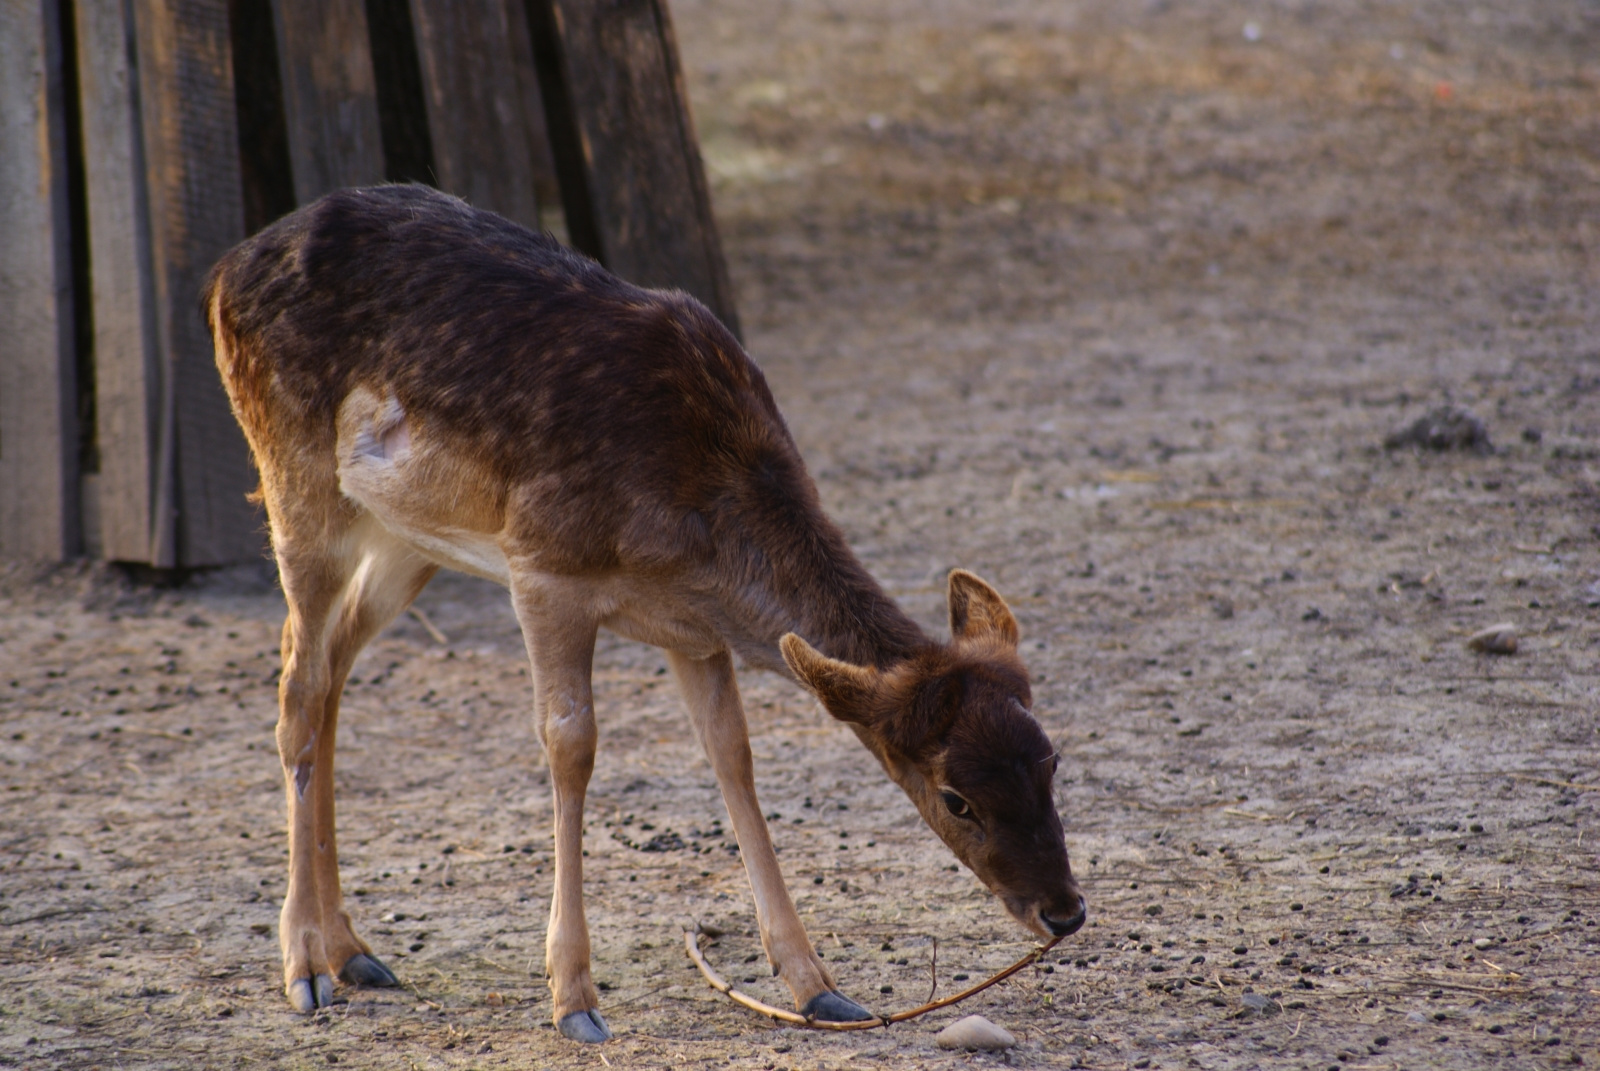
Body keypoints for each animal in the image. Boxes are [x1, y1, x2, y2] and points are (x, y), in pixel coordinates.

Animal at [206, 185, 1088, 1043]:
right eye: (955, 795)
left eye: (1051, 760)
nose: (1065, 910)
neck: (694, 524)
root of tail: (224, 270)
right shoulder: (543, 566)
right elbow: (571, 746)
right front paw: (573, 998)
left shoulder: (692, 629)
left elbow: (733, 755)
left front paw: (818, 986)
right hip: (293, 473)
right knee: (296, 689)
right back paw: (305, 965)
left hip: (407, 536)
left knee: (330, 671)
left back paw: (354, 951)